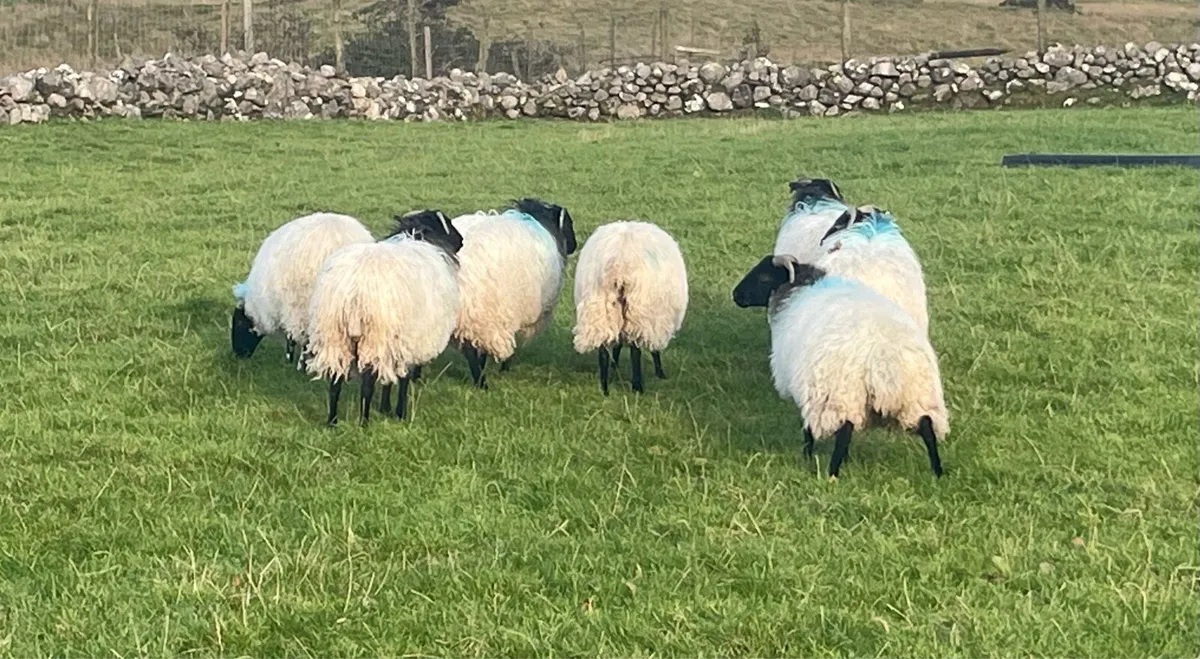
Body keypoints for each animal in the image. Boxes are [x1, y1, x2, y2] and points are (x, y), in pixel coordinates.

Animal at [304, 210, 463, 426]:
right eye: (445, 223)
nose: (461, 241)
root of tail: (353, 291)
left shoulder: (395, 344)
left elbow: (389, 378)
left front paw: (385, 408)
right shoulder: (407, 341)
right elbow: (403, 379)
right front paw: (399, 413)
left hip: (335, 336)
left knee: (335, 381)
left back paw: (332, 421)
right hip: (374, 337)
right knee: (367, 385)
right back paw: (363, 422)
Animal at [396, 198, 577, 389]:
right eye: (570, 223)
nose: (575, 245)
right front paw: (505, 367)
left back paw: (417, 378)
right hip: (477, 312)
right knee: (472, 351)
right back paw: (481, 382)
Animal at [572, 220, 688, 395]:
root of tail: (619, 265)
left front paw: (615, 364)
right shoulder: (654, 318)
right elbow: (653, 349)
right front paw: (660, 373)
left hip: (600, 308)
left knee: (603, 349)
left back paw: (604, 389)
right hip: (638, 310)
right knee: (635, 350)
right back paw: (637, 386)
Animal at [732, 254, 948, 478]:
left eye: (764, 277)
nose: (736, 295)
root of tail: (884, 357)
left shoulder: (811, 392)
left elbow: (808, 429)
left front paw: (807, 456)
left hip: (840, 394)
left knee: (845, 431)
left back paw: (832, 472)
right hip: (917, 395)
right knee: (927, 426)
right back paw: (937, 471)